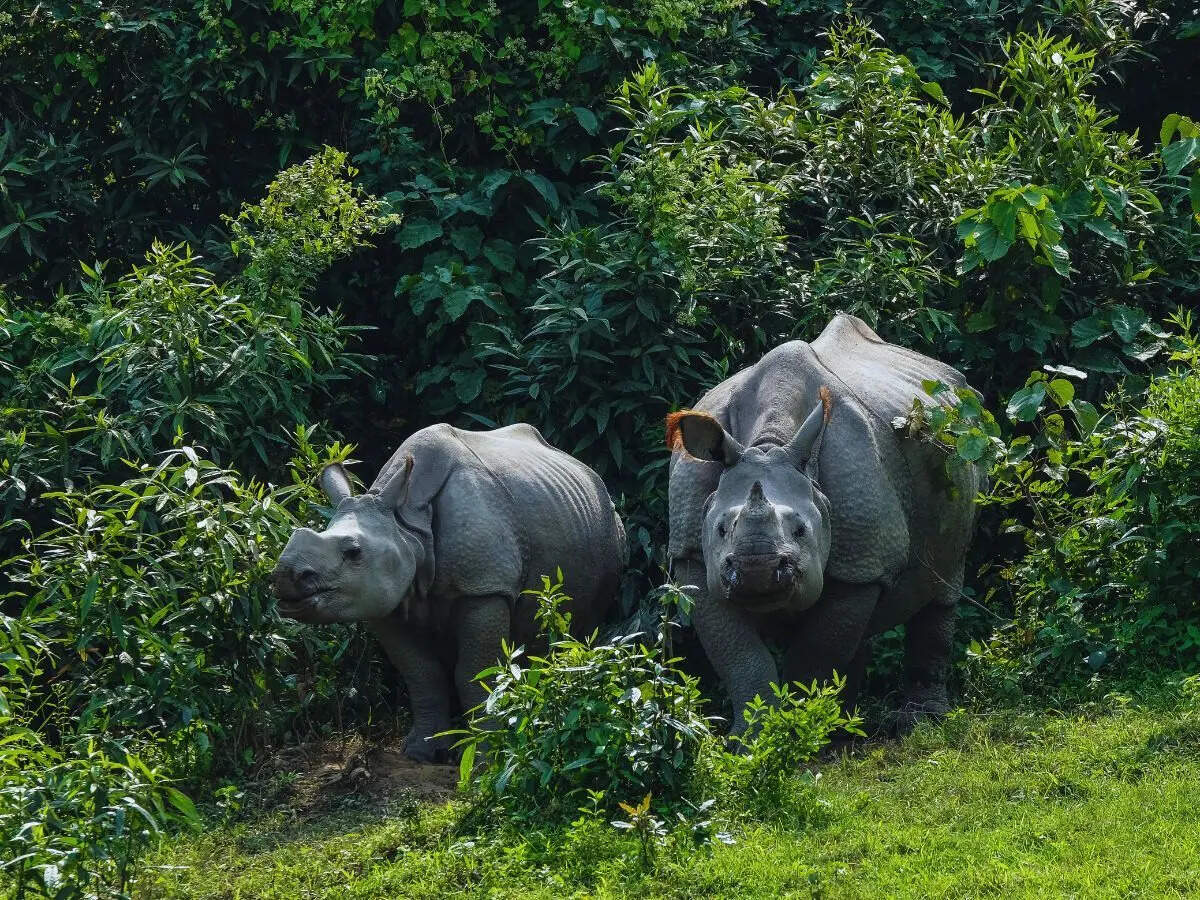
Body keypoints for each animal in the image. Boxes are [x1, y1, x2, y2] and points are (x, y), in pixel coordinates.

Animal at [272, 423, 627, 761]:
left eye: (354, 552)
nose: (285, 576)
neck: (408, 525)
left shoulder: (484, 586)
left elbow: (474, 673)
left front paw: (485, 756)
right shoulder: (383, 598)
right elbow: (421, 673)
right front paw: (421, 753)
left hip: (610, 526)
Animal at [666, 313, 983, 734]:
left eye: (801, 530)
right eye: (720, 529)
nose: (757, 570)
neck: (769, 443)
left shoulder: (859, 561)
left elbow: (815, 654)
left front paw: (802, 730)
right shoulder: (692, 554)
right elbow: (740, 658)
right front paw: (752, 738)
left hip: (965, 445)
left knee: (944, 584)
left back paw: (916, 723)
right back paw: (848, 725)